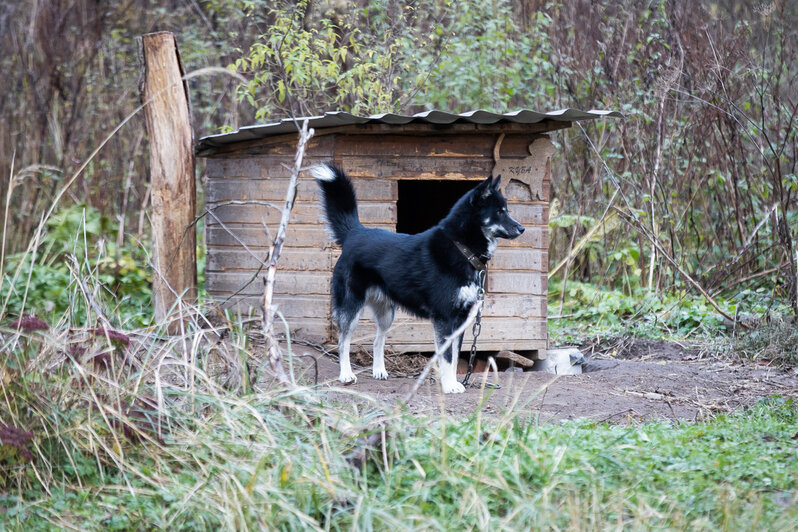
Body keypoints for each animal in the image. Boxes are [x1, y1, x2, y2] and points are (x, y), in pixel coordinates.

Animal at [310, 164, 524, 392]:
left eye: (506, 210)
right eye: (499, 212)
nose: (522, 228)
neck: (462, 248)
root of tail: (355, 233)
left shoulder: (460, 319)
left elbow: (455, 357)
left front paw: (453, 382)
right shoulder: (445, 318)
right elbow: (447, 357)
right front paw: (449, 386)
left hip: (386, 313)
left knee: (378, 340)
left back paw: (379, 371)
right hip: (351, 306)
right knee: (343, 341)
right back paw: (346, 375)